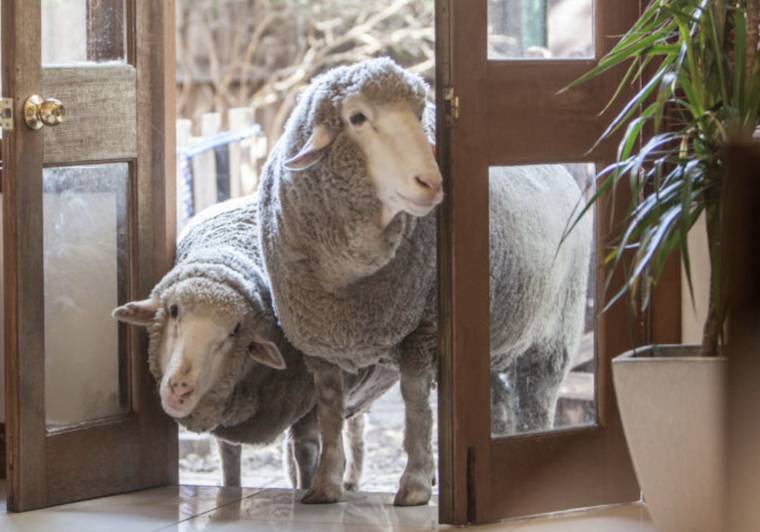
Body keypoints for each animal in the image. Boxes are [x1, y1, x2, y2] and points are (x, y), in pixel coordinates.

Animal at [112, 196, 398, 490]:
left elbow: (306, 451)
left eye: (235, 331)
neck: (227, 251)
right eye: (173, 310)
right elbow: (229, 460)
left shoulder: (310, 407)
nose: (180, 388)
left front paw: (308, 489)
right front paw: (231, 490)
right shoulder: (229, 422)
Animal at [256, 57, 592, 506]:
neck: (346, 281)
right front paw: (325, 485)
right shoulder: (317, 340)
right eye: (357, 118)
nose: (431, 183)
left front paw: (414, 484)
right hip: (489, 333)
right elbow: (329, 408)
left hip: (556, 331)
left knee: (537, 400)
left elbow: (415, 400)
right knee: (499, 402)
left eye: (418, 115)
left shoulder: (423, 327)